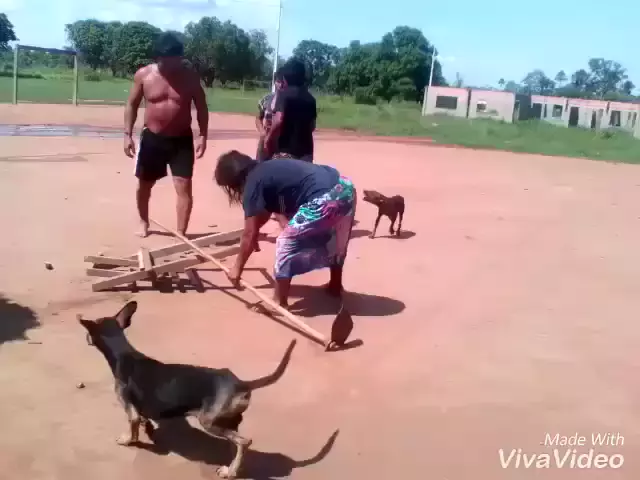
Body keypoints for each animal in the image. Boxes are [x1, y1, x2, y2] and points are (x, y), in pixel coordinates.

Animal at [78, 301, 296, 479]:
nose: (86, 338)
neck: (121, 353)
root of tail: (241, 383)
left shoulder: (129, 408)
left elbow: (132, 428)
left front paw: (127, 440)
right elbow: (143, 419)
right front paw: (146, 426)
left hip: (209, 421)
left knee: (244, 442)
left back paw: (231, 472)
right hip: (227, 421)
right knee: (236, 442)